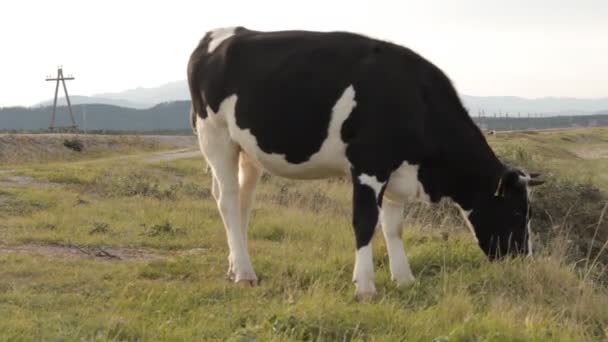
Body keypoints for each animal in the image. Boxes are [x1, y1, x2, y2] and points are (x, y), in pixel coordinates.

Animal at [186, 26, 548, 300]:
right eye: (519, 212)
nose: (525, 260)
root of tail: (221, 34)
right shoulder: (368, 168)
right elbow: (364, 222)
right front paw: (365, 287)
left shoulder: (397, 174)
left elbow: (393, 227)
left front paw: (404, 279)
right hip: (215, 137)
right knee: (228, 200)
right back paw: (245, 274)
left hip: (248, 151)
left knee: (240, 204)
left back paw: (236, 266)